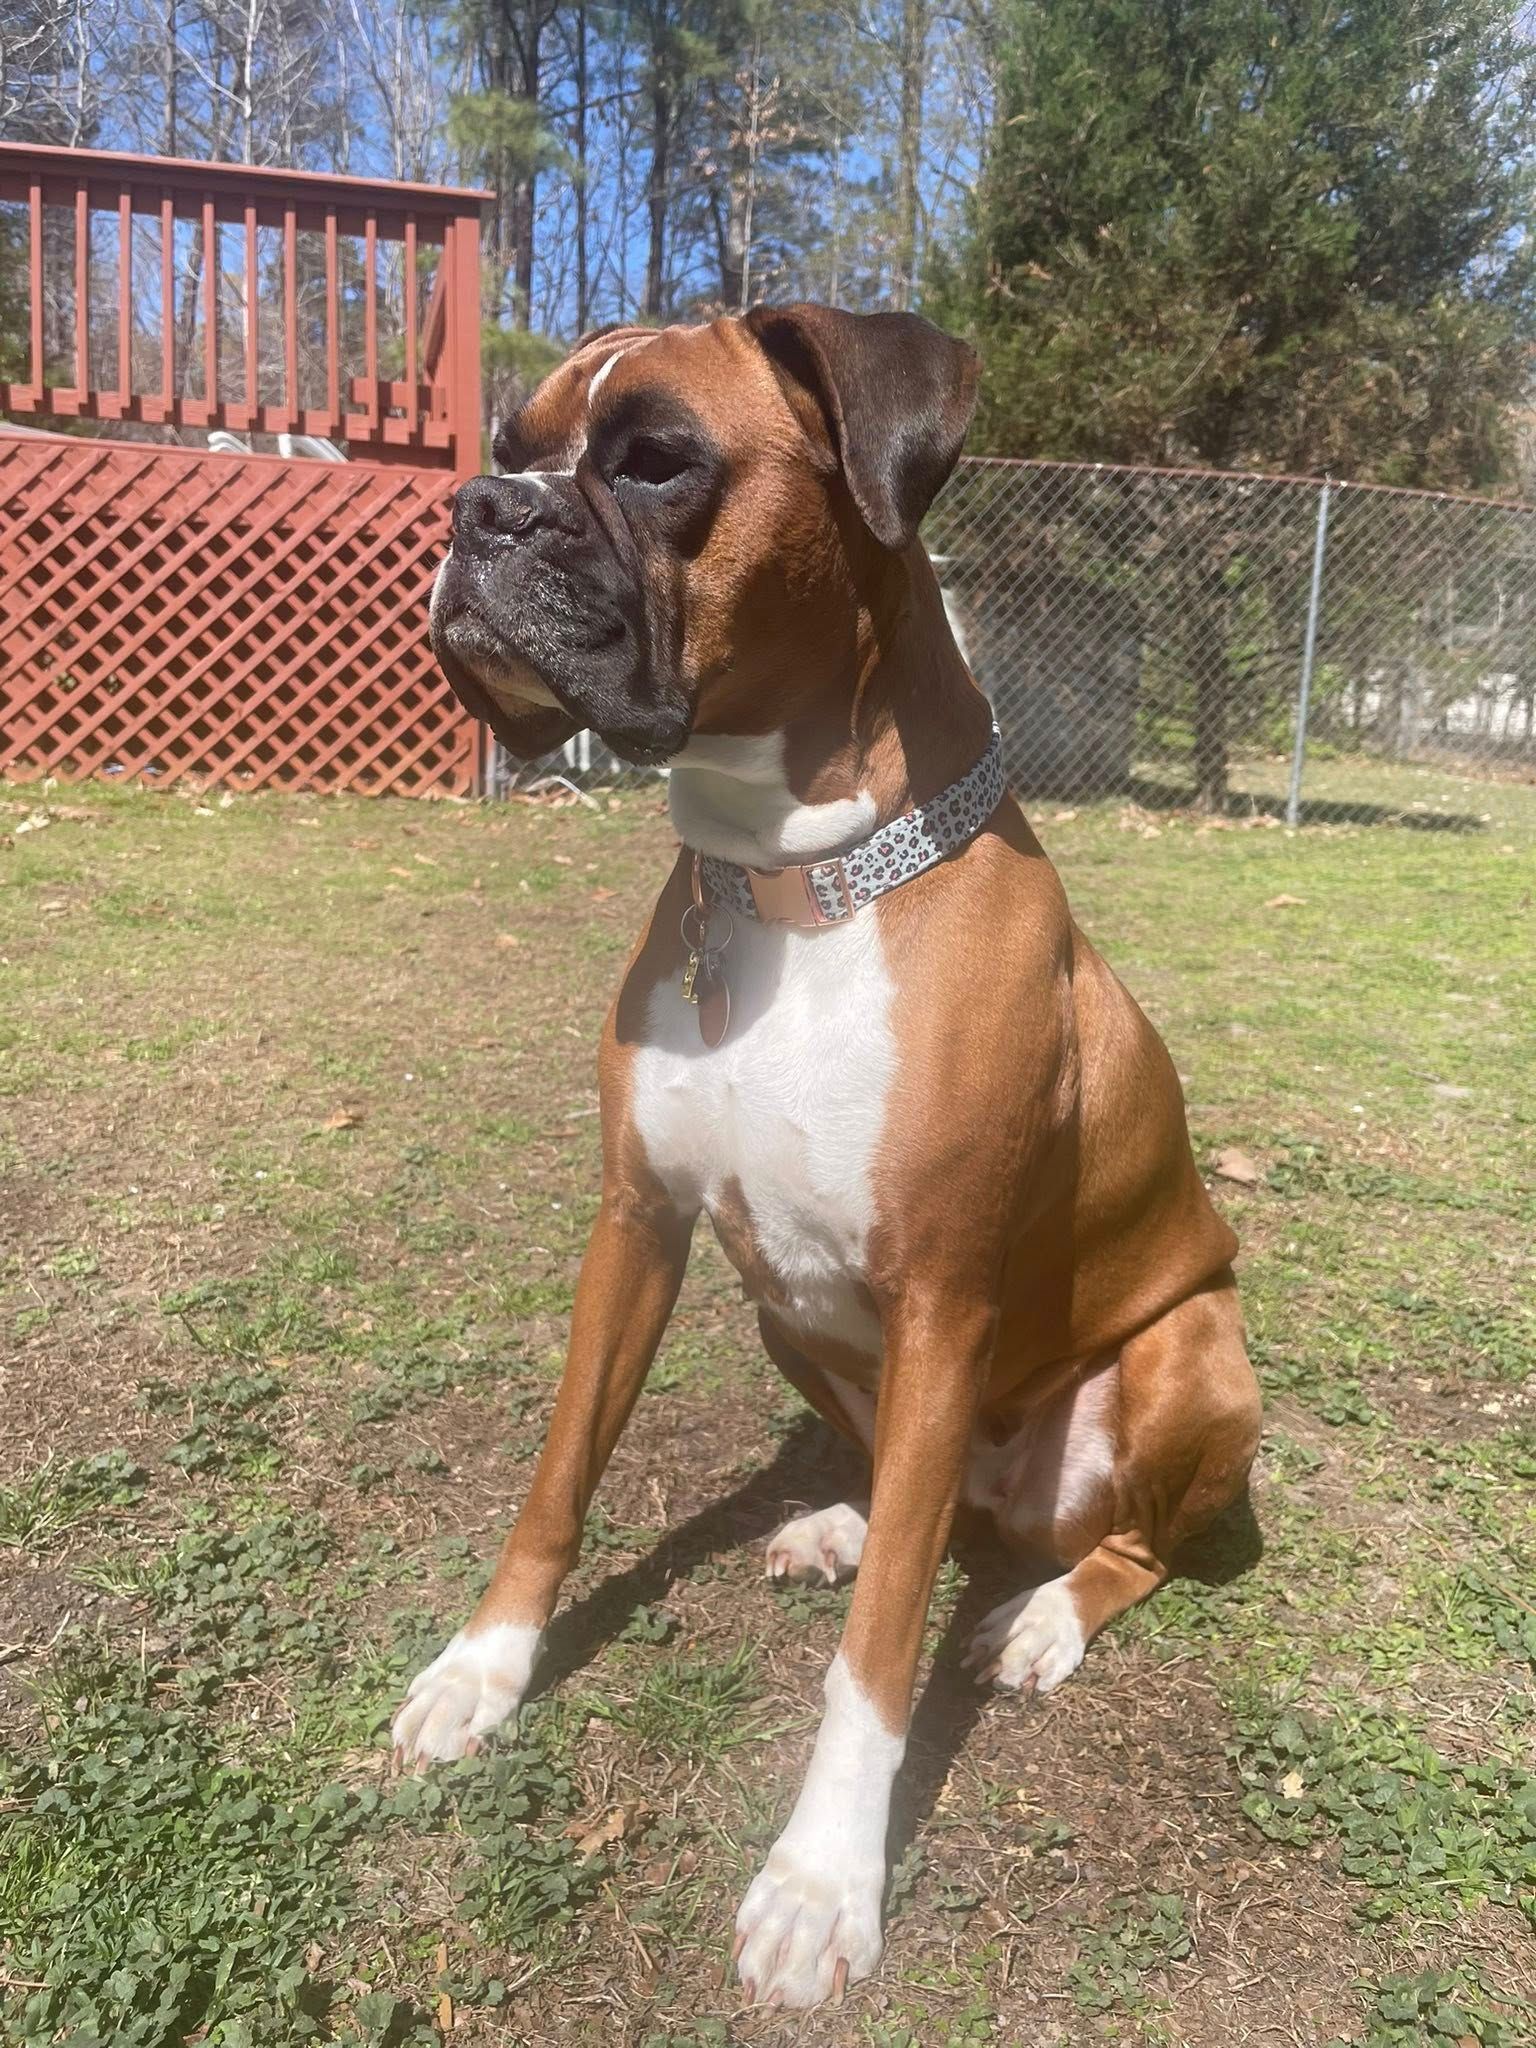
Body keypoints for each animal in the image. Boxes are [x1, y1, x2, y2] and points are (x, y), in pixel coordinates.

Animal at [392, 304, 1262, 2011]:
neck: (792, 890)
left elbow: (876, 1661)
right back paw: (850, 1519)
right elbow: (558, 1478)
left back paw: (1043, 1619)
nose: (478, 510)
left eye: (656, 460)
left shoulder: (942, 1301)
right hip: (787, 1318)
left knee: (1115, 1546)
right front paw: (483, 1669)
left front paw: (821, 1881)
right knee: (919, 1504)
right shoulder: (638, 1230)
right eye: (516, 443)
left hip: (1195, 1352)